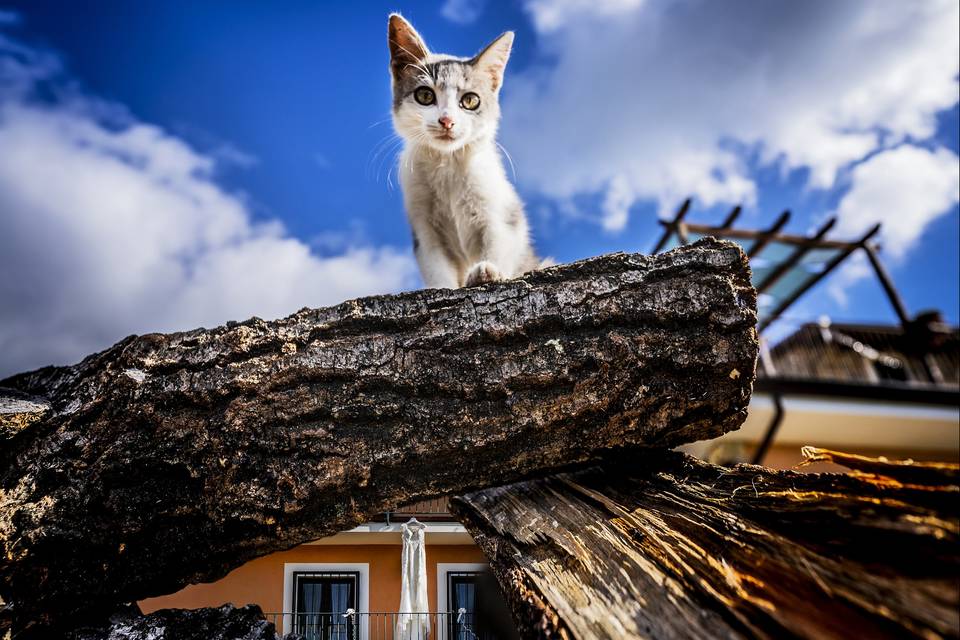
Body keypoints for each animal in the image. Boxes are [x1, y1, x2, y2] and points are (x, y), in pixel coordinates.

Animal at [386, 13, 544, 288]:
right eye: (425, 96)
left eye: (470, 101)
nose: (447, 120)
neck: (447, 163)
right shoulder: (424, 227)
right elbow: (436, 265)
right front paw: (443, 287)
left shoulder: (500, 210)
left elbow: (498, 240)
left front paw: (487, 270)